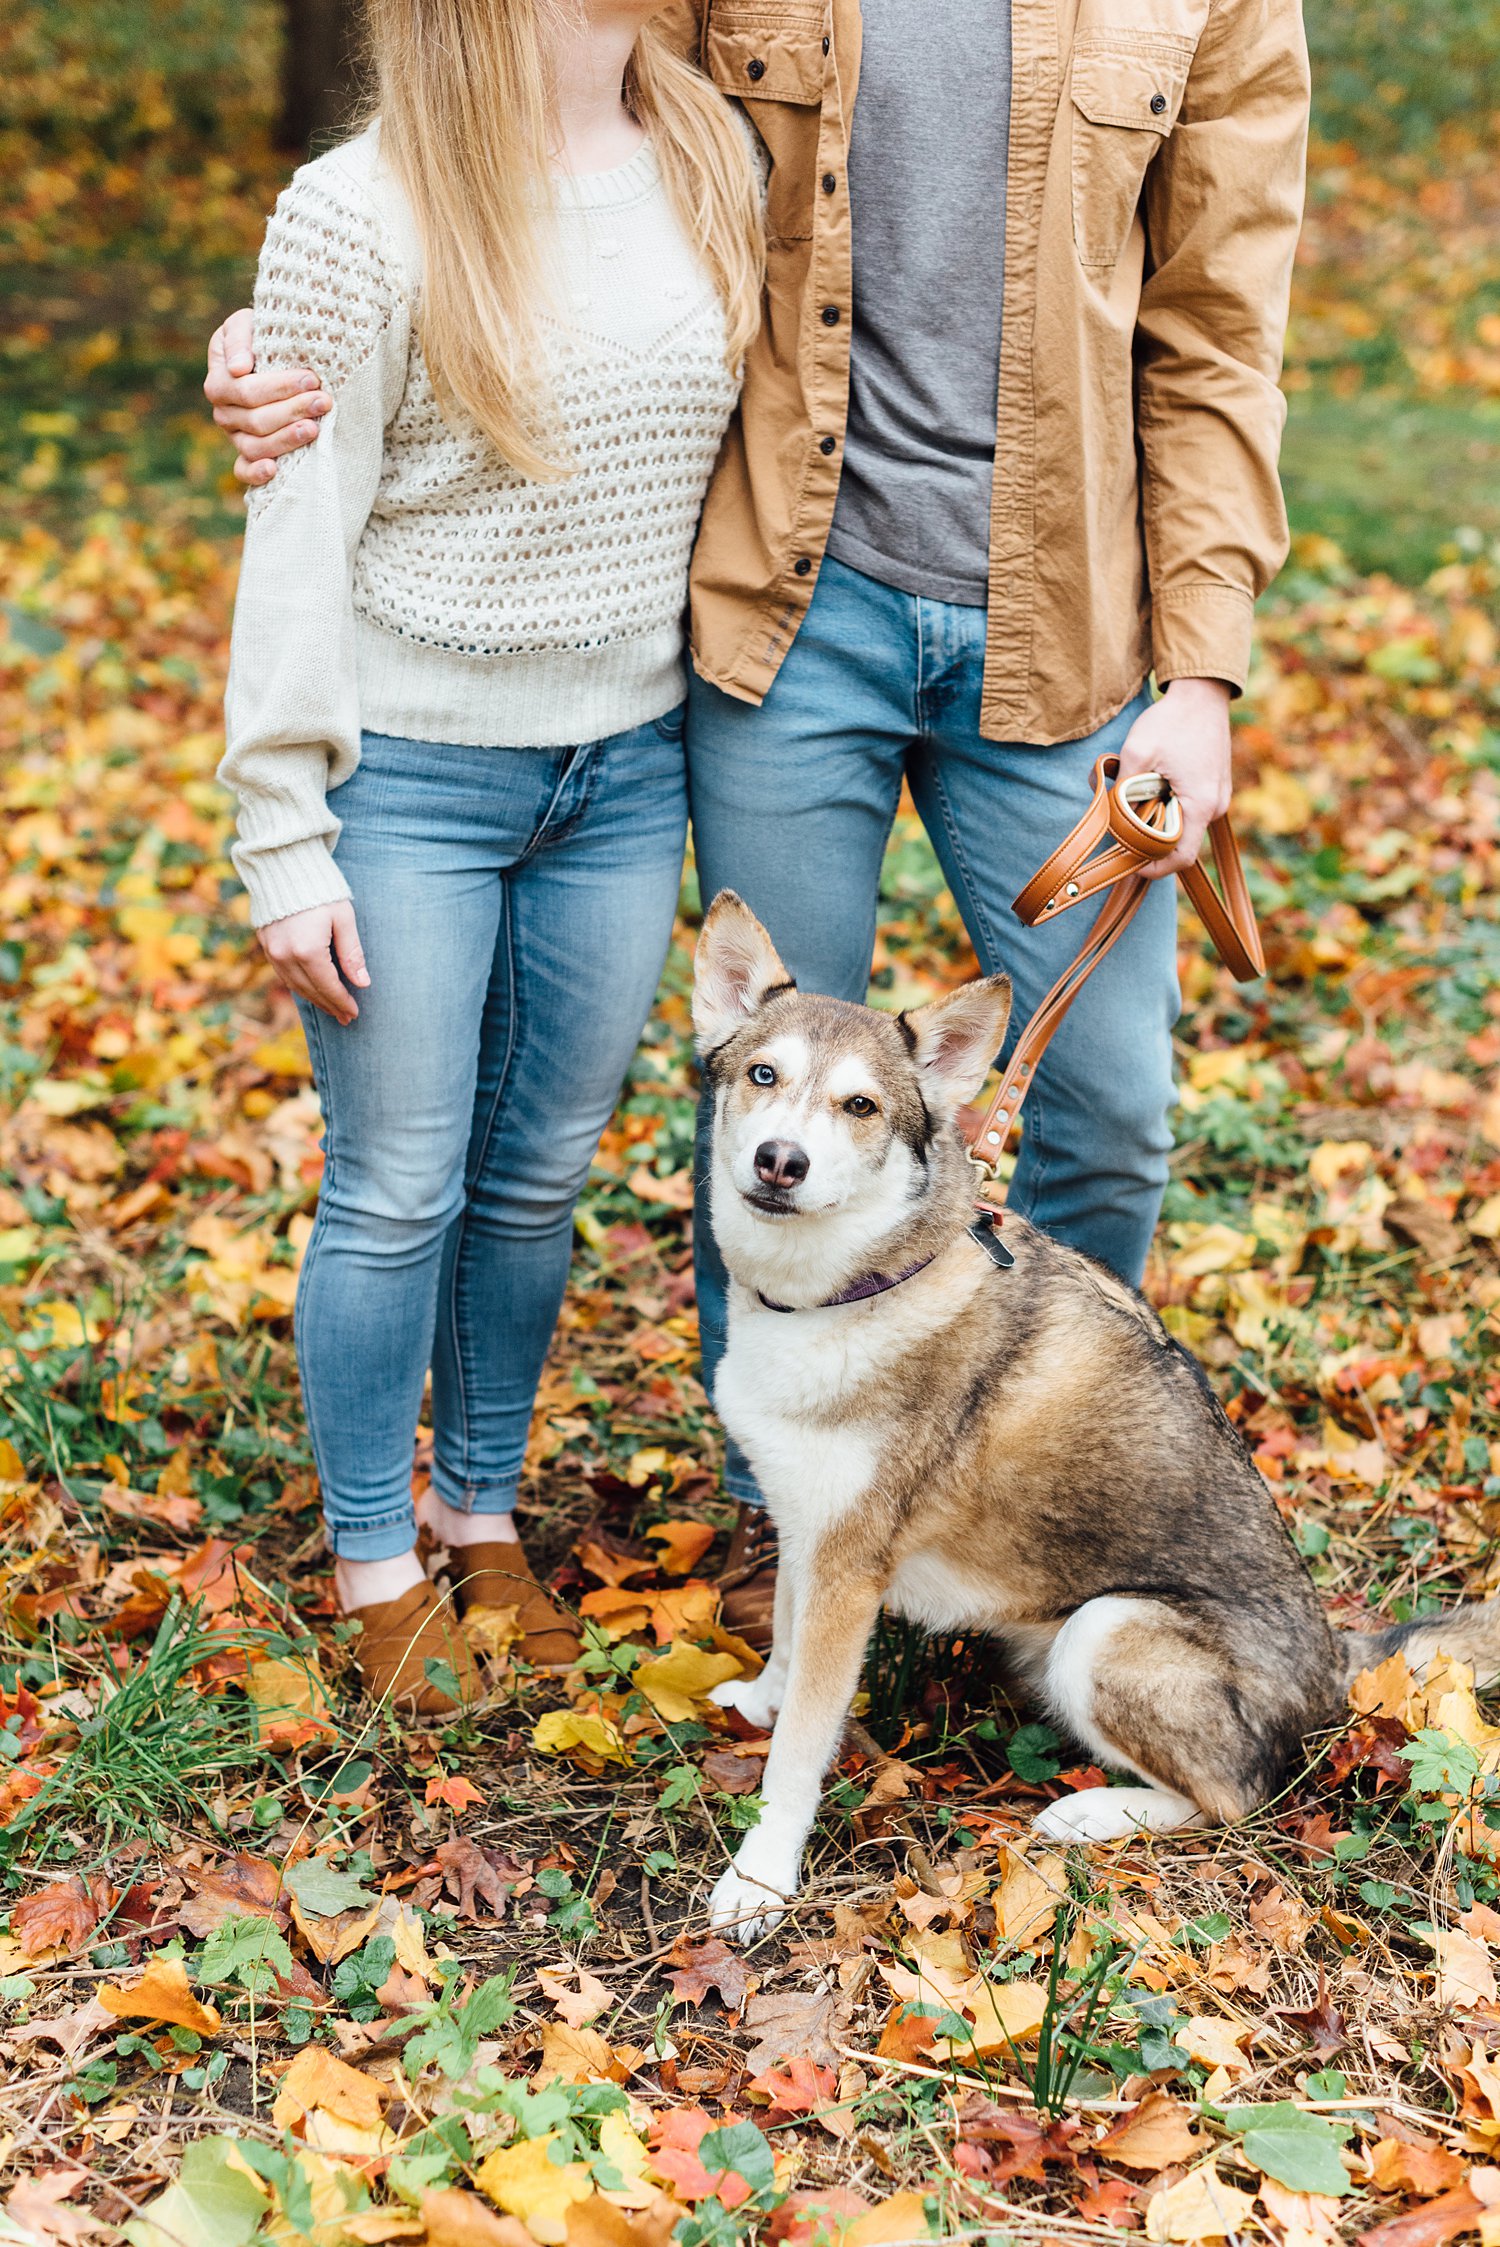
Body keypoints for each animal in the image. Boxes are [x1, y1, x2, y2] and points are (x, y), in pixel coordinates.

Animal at [696, 885, 1500, 1941]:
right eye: (763, 1074)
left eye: (859, 1105)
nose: (779, 1161)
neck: (851, 1288)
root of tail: (1337, 1659)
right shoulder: (808, 1532)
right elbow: (787, 1650)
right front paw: (760, 1700)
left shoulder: (850, 1566)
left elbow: (801, 1751)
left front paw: (759, 1879)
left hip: (1106, 1628)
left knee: (1237, 1800)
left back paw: (1094, 1813)